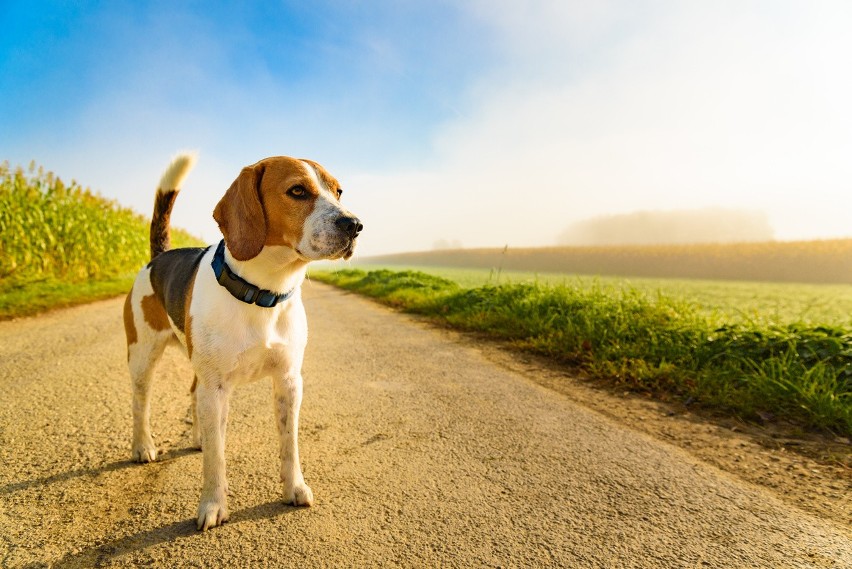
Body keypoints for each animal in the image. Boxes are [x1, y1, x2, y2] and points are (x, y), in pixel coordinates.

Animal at [121, 154, 362, 528]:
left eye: (338, 191)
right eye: (297, 190)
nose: (354, 225)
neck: (263, 292)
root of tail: (159, 257)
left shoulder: (289, 382)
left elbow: (289, 444)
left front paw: (295, 488)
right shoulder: (217, 387)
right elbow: (216, 457)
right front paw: (212, 505)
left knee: (193, 397)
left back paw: (197, 437)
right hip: (143, 357)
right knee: (140, 403)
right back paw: (143, 446)